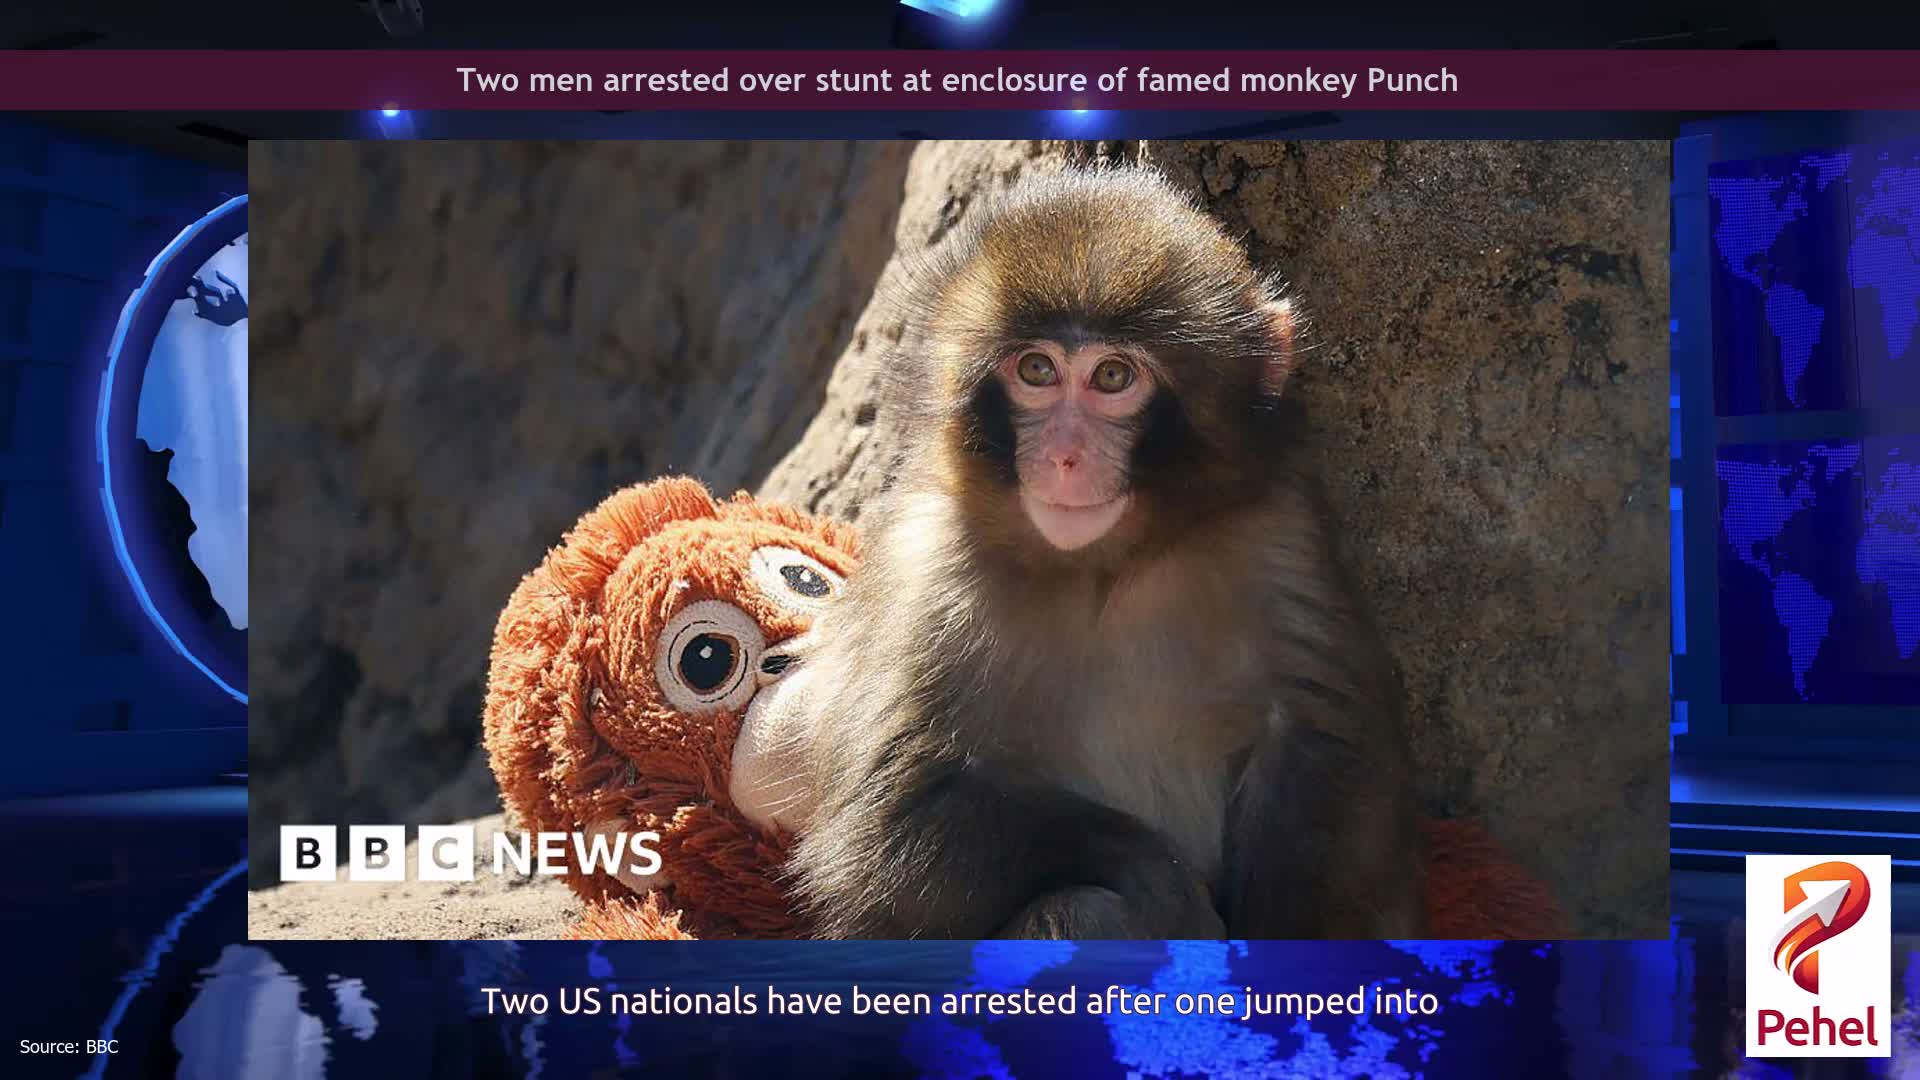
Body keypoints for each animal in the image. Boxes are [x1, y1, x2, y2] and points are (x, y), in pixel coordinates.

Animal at [780, 165, 1425, 940]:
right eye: (1036, 369)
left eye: (1113, 377)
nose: (1064, 456)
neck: (1105, 567)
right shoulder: (927, 571)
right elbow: (885, 833)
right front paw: (1161, 880)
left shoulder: (1278, 529)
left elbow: (1325, 743)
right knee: (1079, 908)